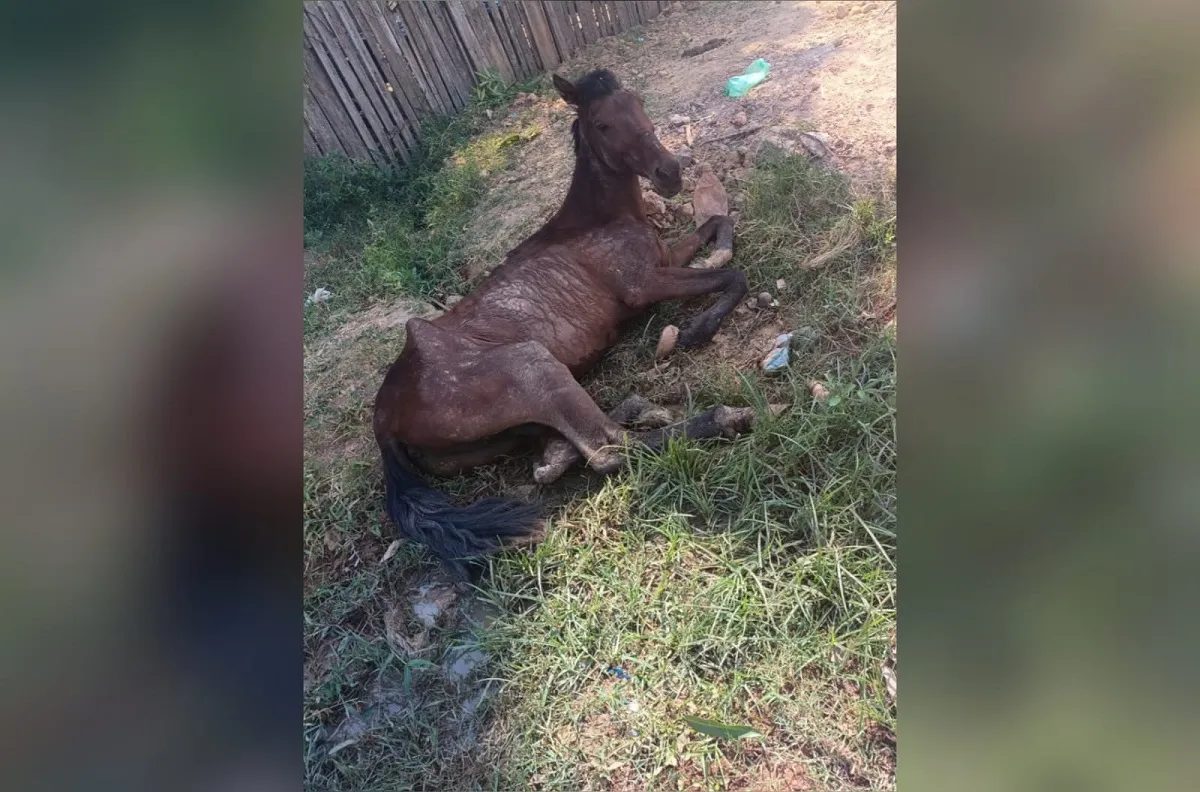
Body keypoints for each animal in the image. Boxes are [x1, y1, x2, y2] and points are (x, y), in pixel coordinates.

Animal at [373, 69, 753, 574]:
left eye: (638, 102)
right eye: (602, 124)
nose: (669, 173)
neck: (598, 219)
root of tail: (384, 416)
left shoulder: (666, 259)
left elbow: (718, 225)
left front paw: (715, 256)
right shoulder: (644, 285)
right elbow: (734, 272)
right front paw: (696, 330)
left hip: (511, 427)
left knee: (564, 444)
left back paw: (590, 436)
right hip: (530, 365)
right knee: (608, 450)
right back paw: (723, 418)